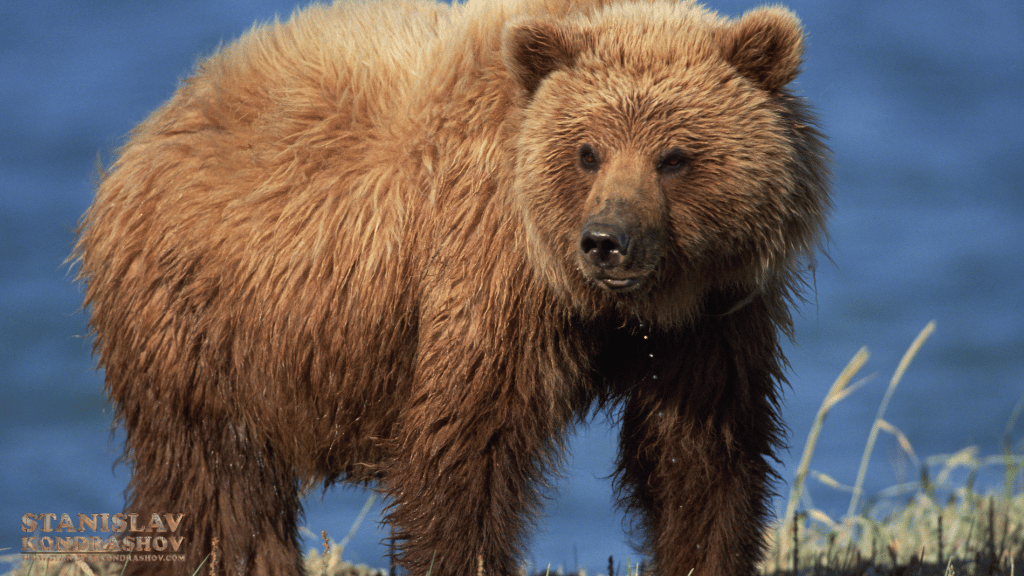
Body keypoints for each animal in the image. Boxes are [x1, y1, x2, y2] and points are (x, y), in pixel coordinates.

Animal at [75, 0, 831, 569]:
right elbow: (466, 450)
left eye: (673, 156)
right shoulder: (490, 275)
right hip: (201, 324)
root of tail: (147, 132)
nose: (606, 241)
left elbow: (701, 457)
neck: (609, 308)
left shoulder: (713, 314)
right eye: (587, 152)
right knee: (217, 486)